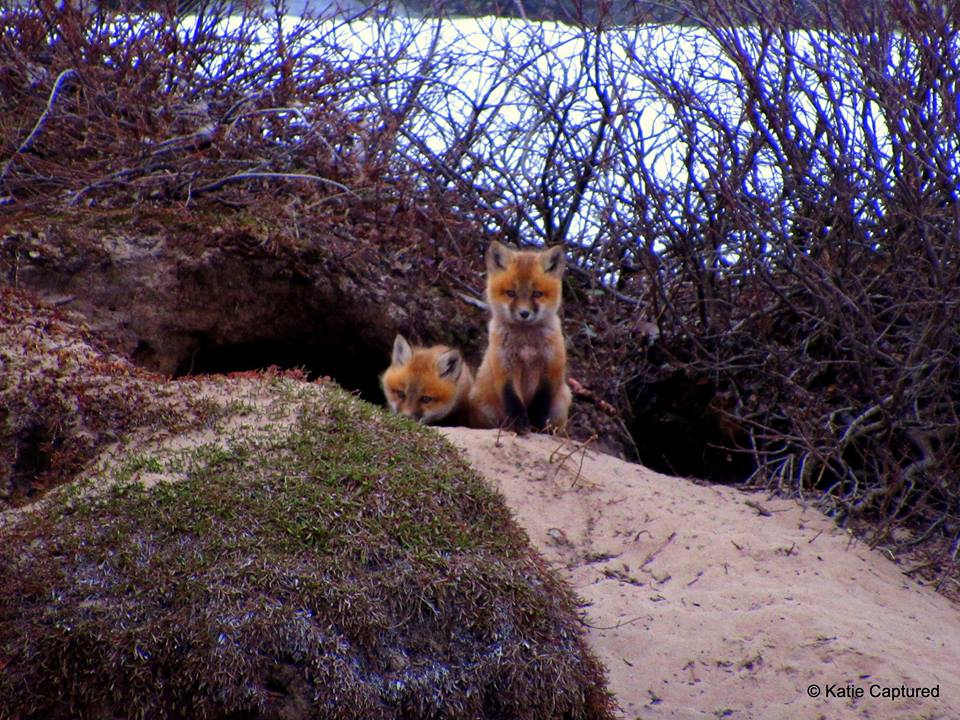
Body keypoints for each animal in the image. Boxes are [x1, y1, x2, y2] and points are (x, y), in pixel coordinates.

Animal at [469, 240, 572, 434]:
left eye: (537, 294)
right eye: (511, 293)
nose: (524, 313)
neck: (526, 345)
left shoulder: (551, 369)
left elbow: (540, 403)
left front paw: (535, 425)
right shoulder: (505, 367)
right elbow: (513, 401)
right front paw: (519, 423)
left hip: (563, 398)